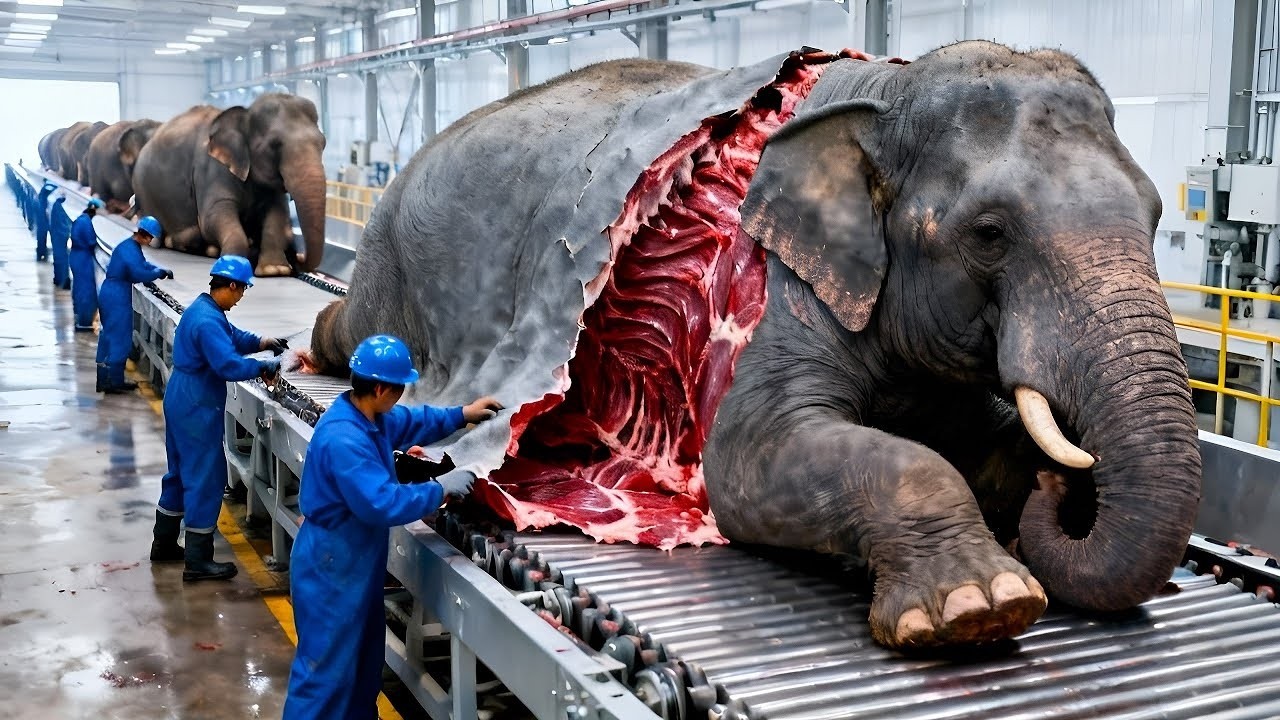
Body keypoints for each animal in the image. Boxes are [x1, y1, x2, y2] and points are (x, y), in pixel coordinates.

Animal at [130, 93, 328, 276]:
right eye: (274, 145)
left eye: (323, 143)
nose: (298, 257)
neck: (244, 114)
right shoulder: (211, 169)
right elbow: (212, 218)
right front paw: (233, 263)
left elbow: (277, 217)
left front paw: (274, 270)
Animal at [302, 42, 1202, 650]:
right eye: (988, 233)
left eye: (1159, 213)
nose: (1067, 489)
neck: (883, 90)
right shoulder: (772, 290)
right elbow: (747, 465)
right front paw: (979, 608)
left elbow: (986, 436)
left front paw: (1033, 497)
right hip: (392, 271)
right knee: (357, 331)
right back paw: (315, 347)